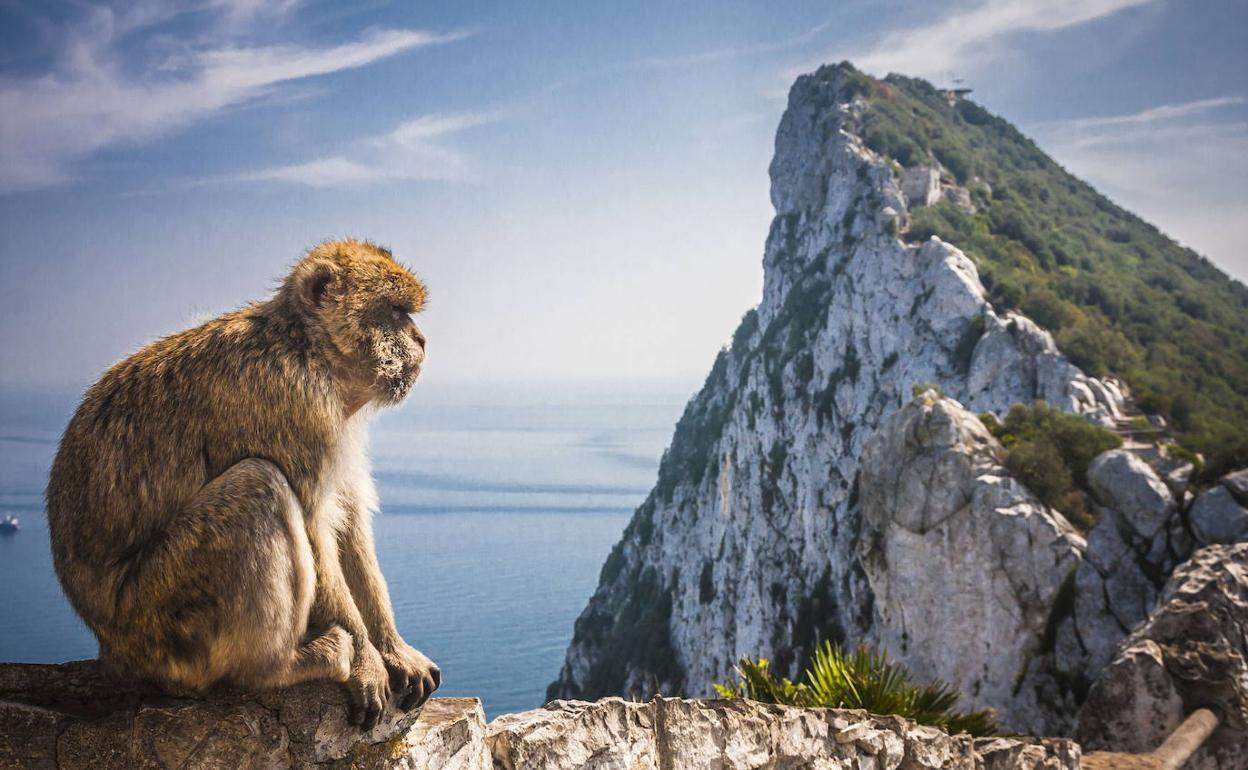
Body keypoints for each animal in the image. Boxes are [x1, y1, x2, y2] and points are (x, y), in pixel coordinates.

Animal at [43, 238, 441, 728]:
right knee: (259, 485)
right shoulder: (295, 404)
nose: (421, 339)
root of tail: (112, 650)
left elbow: (348, 524)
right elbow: (315, 529)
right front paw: (368, 663)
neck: (306, 349)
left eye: (407, 313)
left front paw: (393, 649)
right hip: (161, 621)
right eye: (394, 311)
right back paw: (279, 667)